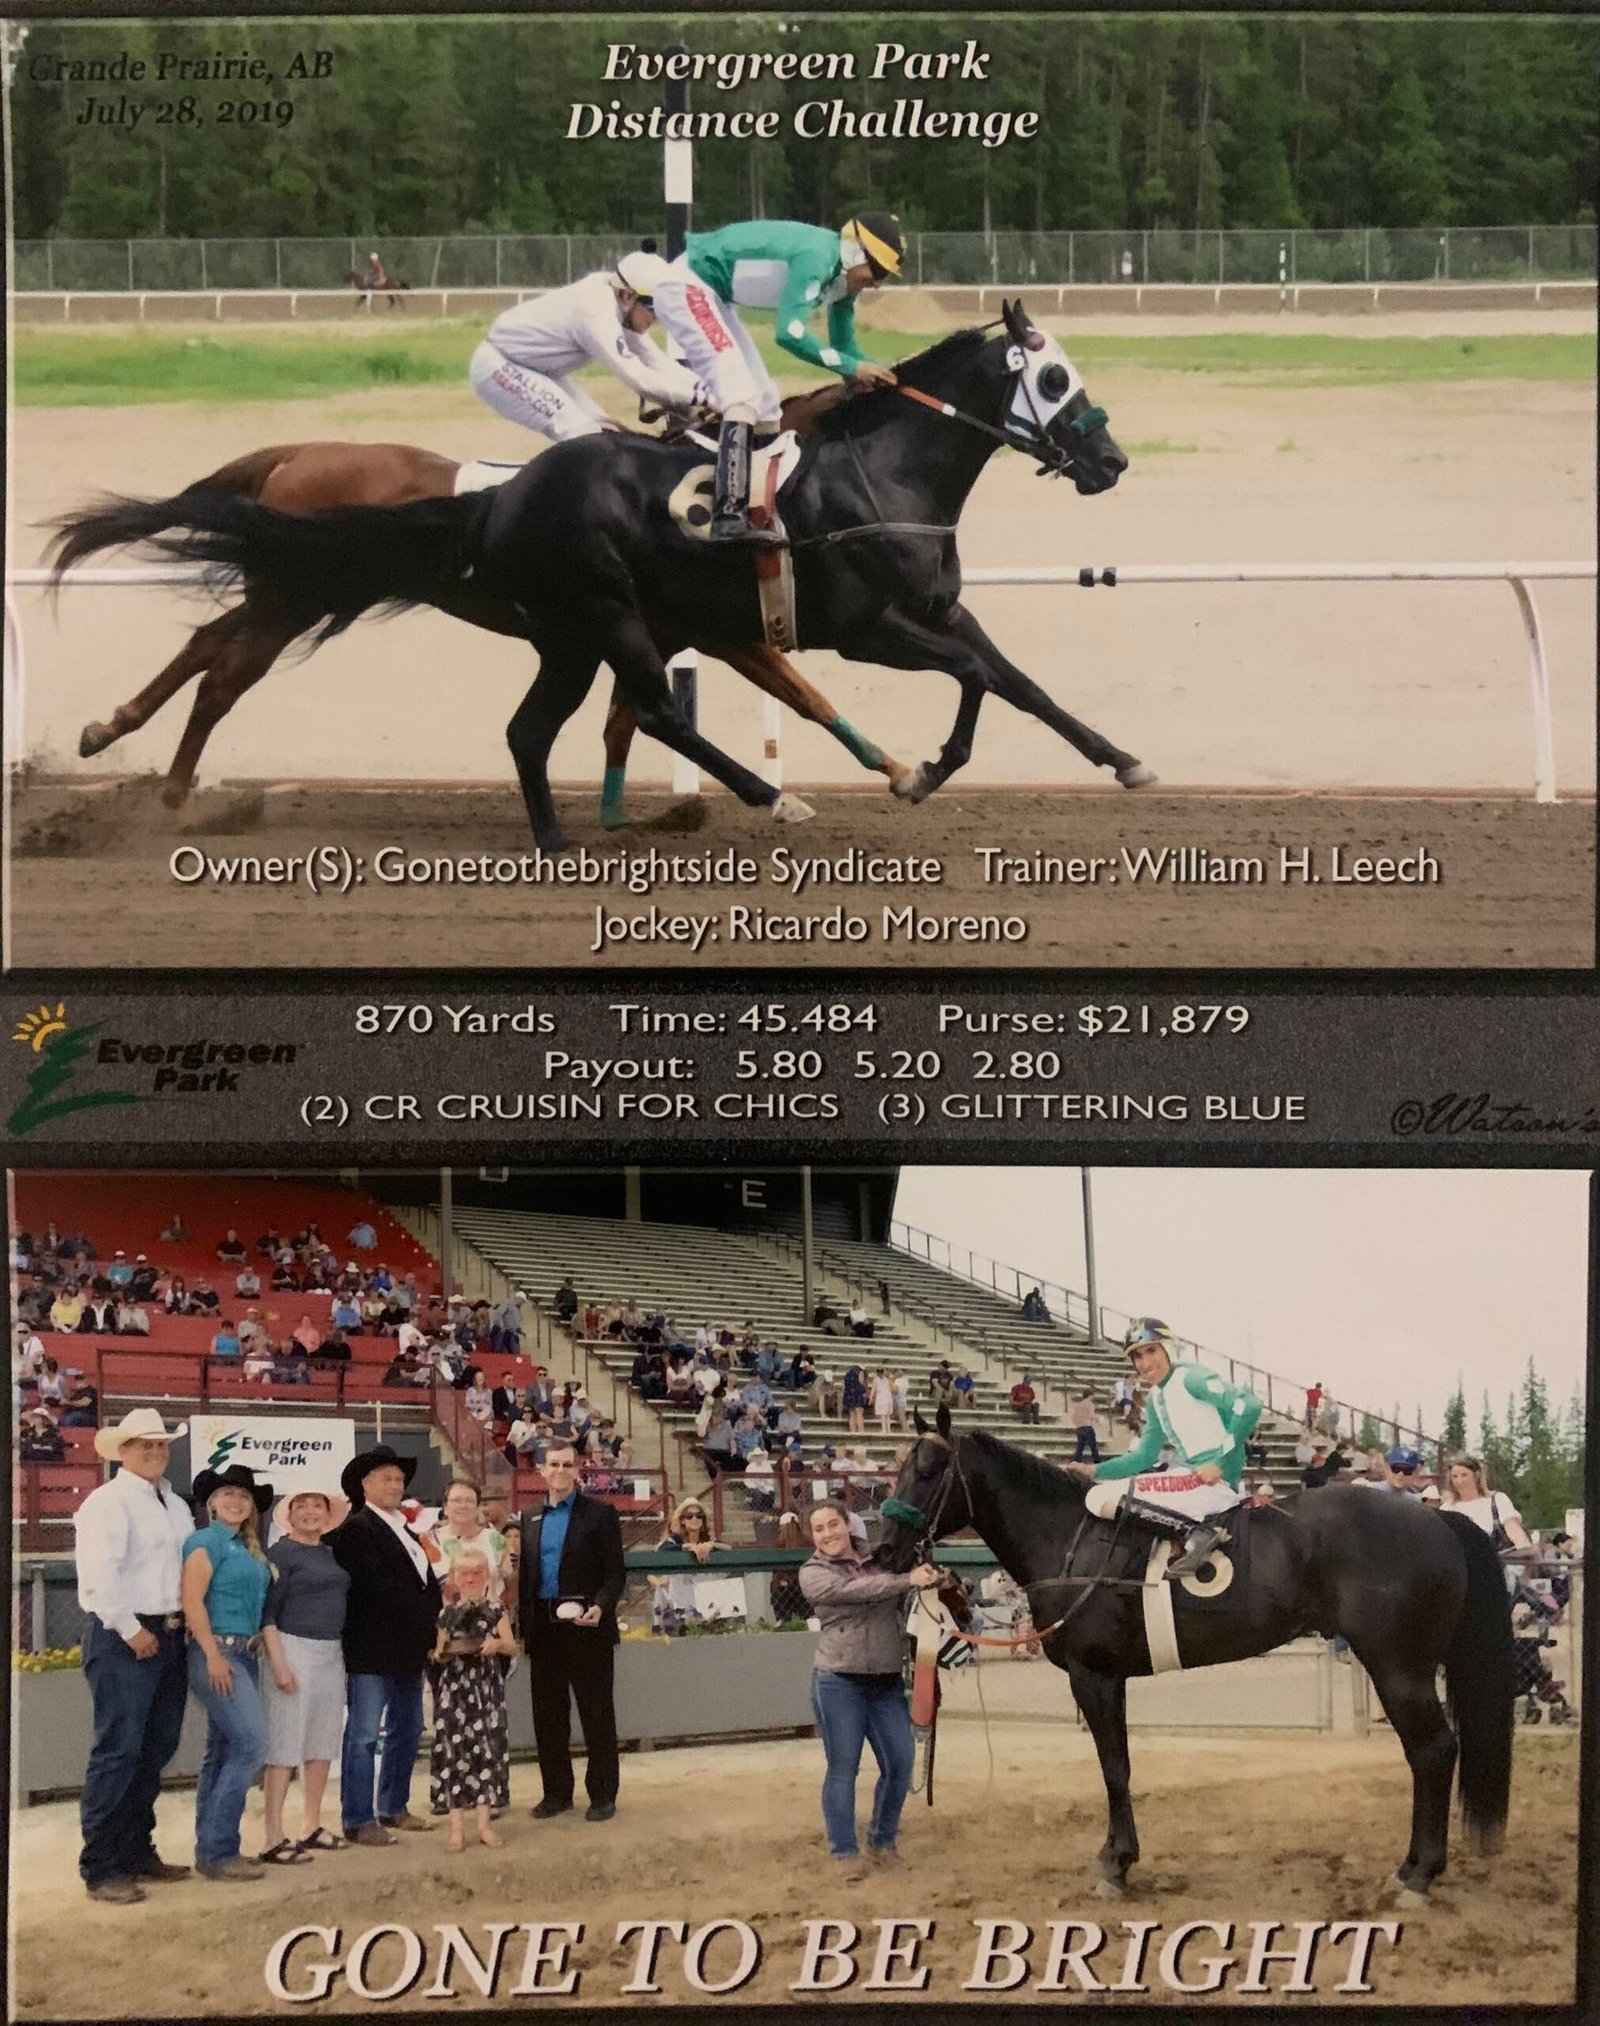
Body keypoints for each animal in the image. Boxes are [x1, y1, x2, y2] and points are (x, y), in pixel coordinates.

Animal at [51, 398, 910, 824]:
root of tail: (297, 452)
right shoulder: (709, 633)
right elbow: (780, 696)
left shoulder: (658, 633)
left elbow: (652, 715)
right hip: (298, 595)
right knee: (224, 673)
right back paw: (162, 783)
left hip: (291, 590)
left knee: (209, 647)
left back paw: (122, 744)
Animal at [879, 1411, 1514, 1907]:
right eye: (897, 1467)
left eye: (928, 1470)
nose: (883, 1549)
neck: (1068, 1539)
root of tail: (1436, 1516)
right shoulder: (1109, 1679)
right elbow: (1119, 1765)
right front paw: (1120, 1858)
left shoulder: (1094, 1676)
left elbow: (1114, 1768)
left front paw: (1116, 1864)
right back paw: (1414, 1868)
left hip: (1397, 1667)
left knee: (1433, 1752)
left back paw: (1418, 1875)